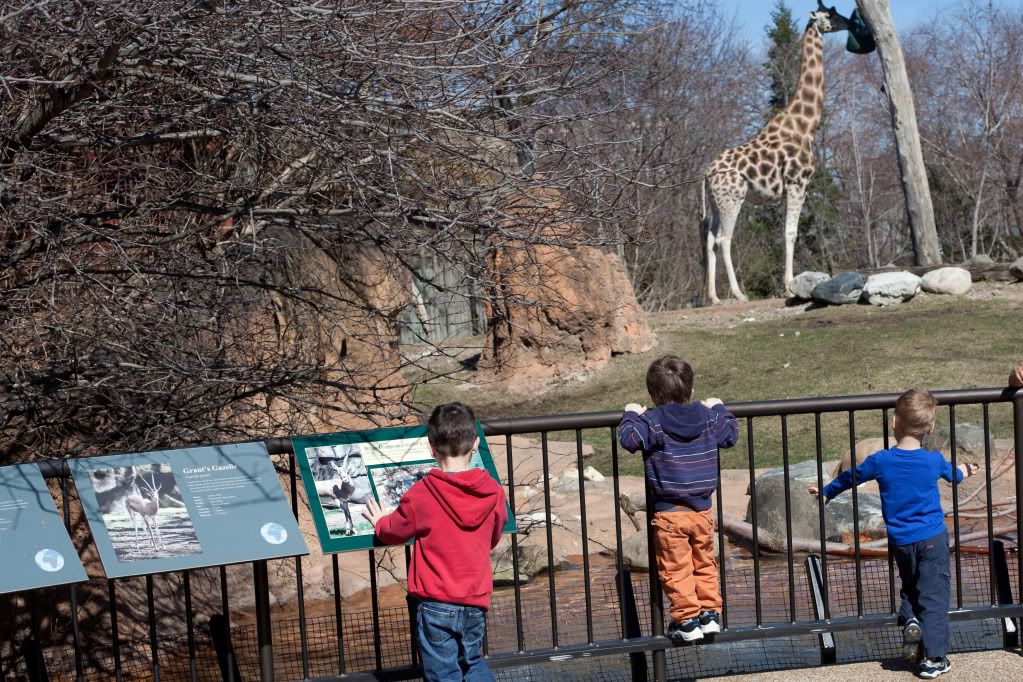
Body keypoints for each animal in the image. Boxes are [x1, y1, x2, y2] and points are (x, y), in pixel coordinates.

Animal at [703, 1, 847, 302]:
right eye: (831, 14)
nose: (850, 23)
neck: (806, 125)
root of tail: (707, 175)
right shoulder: (797, 182)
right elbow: (790, 233)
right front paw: (789, 285)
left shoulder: (791, 188)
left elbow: (788, 232)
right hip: (732, 199)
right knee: (724, 239)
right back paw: (739, 293)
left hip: (715, 202)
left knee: (710, 239)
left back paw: (714, 296)